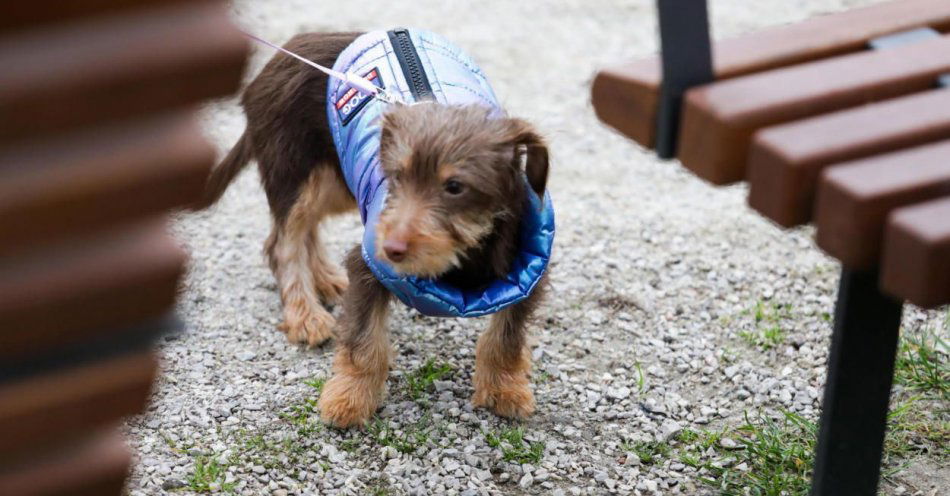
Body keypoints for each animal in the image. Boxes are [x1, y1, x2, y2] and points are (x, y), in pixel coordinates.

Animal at [205, 32, 556, 426]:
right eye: (397, 176)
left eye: (455, 187)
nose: (390, 249)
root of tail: (279, 57)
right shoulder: (368, 267)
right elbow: (364, 342)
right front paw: (349, 398)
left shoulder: (526, 275)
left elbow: (506, 338)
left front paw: (504, 390)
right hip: (295, 169)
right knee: (283, 241)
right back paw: (305, 314)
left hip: (335, 181)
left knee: (302, 227)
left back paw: (325, 278)